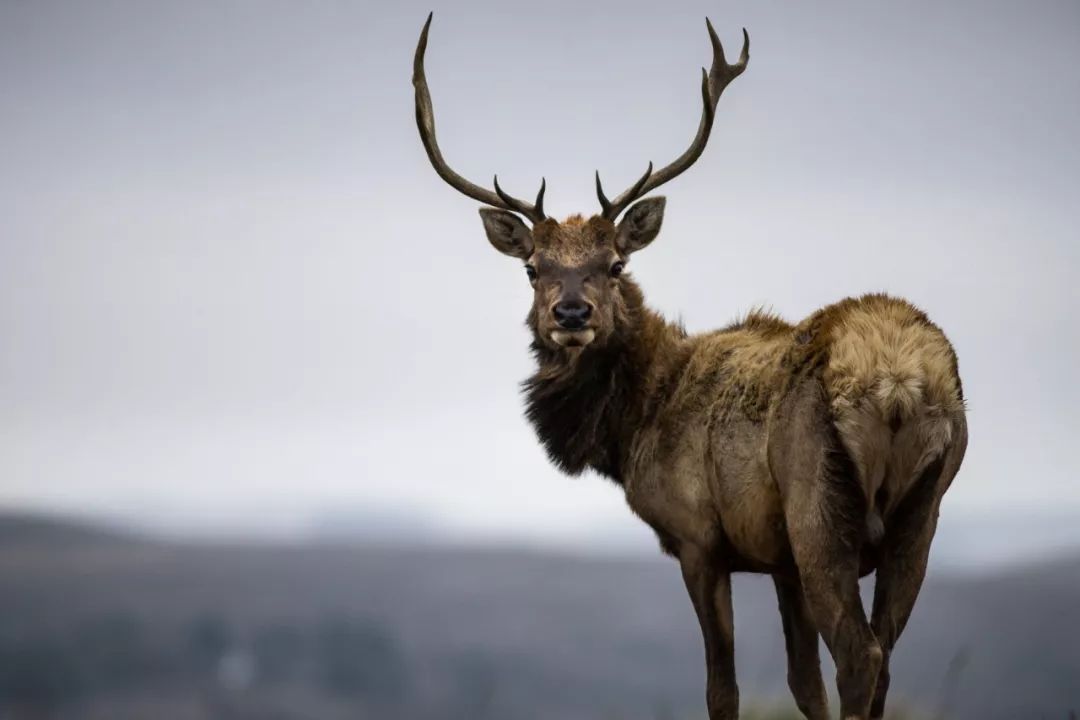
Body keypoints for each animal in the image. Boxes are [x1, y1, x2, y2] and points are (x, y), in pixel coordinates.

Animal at [412, 14, 972, 720]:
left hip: (819, 511)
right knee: (886, 657)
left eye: (615, 263)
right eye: (533, 268)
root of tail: (900, 385)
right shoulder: (778, 558)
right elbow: (802, 683)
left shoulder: (698, 538)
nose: (571, 312)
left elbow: (722, 687)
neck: (636, 420)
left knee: (862, 655)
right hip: (921, 516)